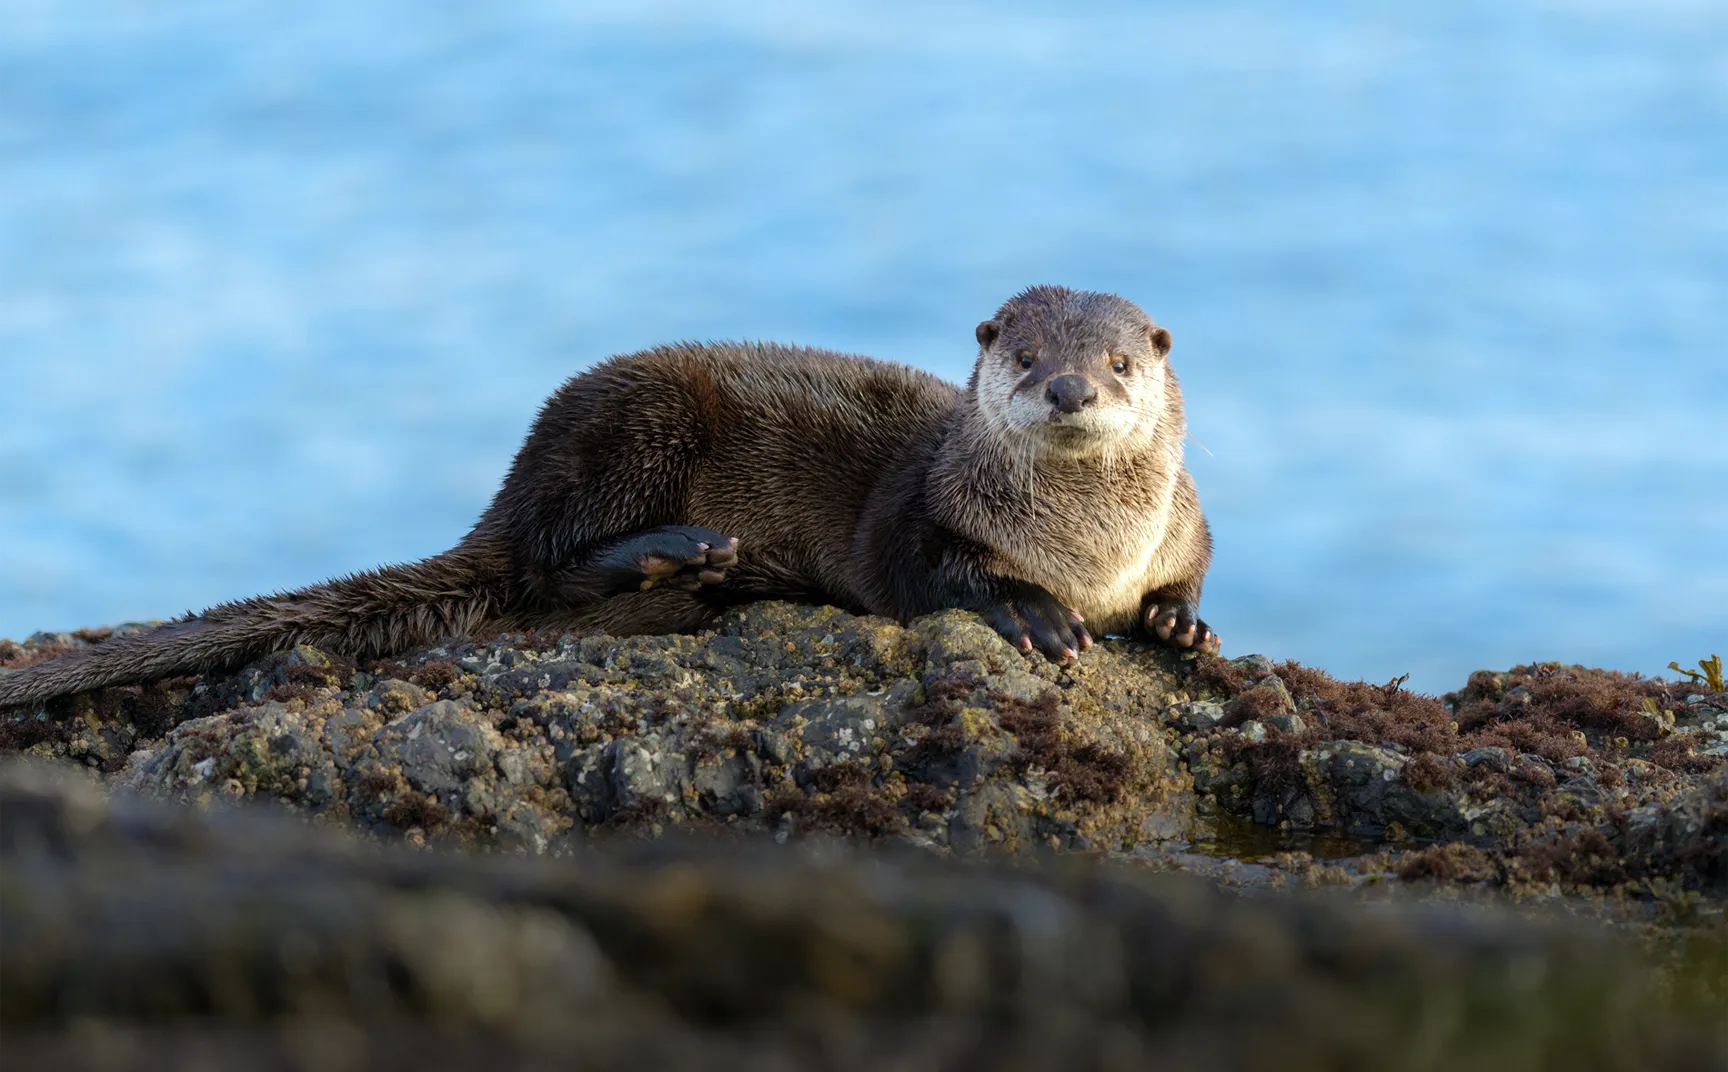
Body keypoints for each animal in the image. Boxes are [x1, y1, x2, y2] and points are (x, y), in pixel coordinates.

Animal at [0, 285, 1217, 709]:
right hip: (635, 423)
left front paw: (1178, 625)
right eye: (1024, 354)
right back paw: (677, 552)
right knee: (542, 568)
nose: (1068, 387)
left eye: (1118, 361)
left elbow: (1194, 572)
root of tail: (513, 480)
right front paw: (1032, 613)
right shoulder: (915, 505)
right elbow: (920, 570)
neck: (1087, 550)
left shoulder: (1184, 524)